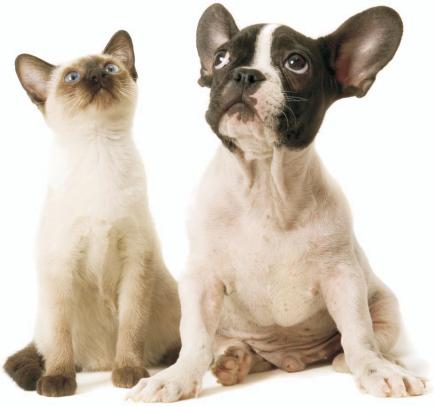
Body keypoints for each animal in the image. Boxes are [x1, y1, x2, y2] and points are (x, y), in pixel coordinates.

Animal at [4, 30, 180, 397]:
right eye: (72, 77)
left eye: (110, 68)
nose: (97, 76)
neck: (99, 151)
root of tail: (100, 362)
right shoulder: (60, 267)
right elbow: (60, 339)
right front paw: (58, 381)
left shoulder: (135, 262)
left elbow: (131, 328)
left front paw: (129, 373)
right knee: (48, 347)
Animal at [128, 4, 426, 401]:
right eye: (220, 57)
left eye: (296, 62)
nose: (244, 74)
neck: (265, 186)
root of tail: (291, 360)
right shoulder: (201, 280)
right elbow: (195, 339)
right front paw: (175, 377)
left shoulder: (343, 278)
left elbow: (359, 333)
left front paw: (377, 370)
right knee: (229, 346)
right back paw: (234, 359)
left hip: (385, 302)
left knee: (369, 338)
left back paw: (370, 360)